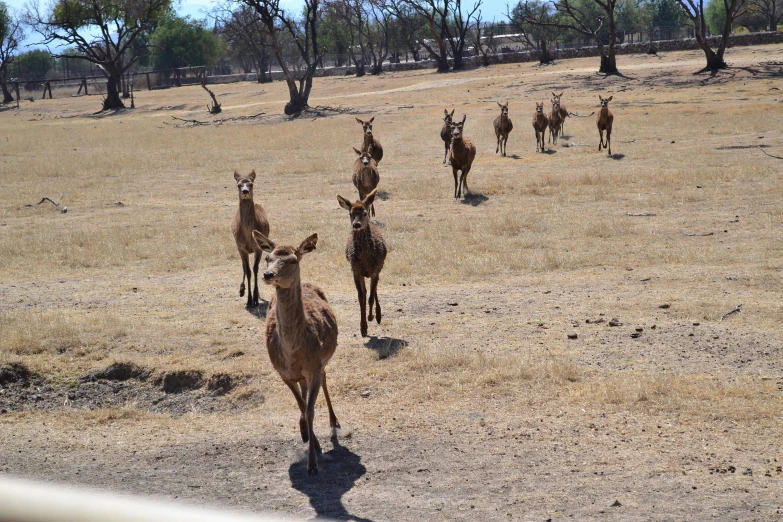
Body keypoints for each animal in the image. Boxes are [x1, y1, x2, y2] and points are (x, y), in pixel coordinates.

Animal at [231, 169, 272, 306]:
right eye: (238, 185)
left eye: (251, 184)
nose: (245, 191)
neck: (248, 235)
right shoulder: (241, 247)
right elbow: (248, 270)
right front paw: (249, 299)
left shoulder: (258, 247)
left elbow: (255, 269)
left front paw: (255, 298)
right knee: (244, 266)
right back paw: (241, 290)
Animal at [250, 230, 338, 474]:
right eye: (268, 257)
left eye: (292, 260)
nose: (268, 274)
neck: (292, 353)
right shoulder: (283, 373)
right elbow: (301, 405)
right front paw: (311, 441)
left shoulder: (314, 366)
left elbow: (310, 409)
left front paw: (313, 464)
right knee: (304, 390)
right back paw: (305, 433)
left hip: (322, 363)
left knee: (325, 379)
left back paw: (334, 424)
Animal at [336, 189, 386, 336]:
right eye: (350, 213)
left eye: (364, 213)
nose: (356, 224)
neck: (365, 259)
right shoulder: (356, 270)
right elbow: (361, 297)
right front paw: (363, 327)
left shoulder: (375, 270)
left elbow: (370, 297)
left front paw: (371, 317)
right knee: (366, 291)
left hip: (378, 269)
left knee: (373, 291)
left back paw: (378, 315)